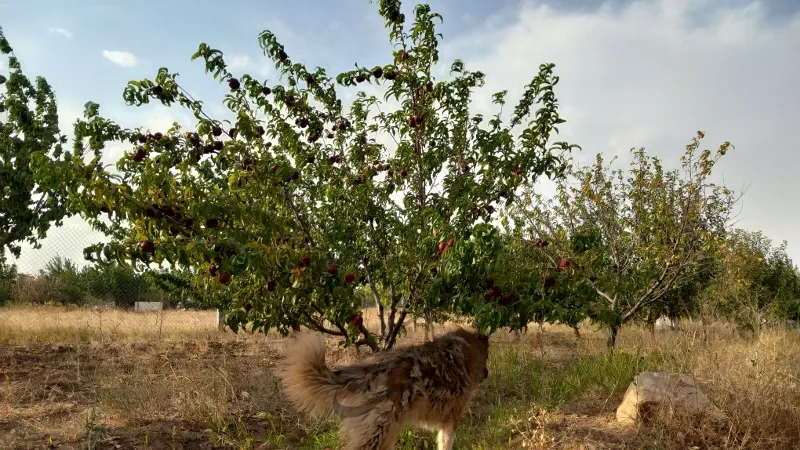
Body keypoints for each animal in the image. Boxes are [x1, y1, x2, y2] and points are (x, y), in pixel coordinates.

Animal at [278, 326, 490, 450]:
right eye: (487, 358)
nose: (487, 374)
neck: (465, 348)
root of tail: (372, 370)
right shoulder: (453, 418)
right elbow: (446, 443)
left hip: (388, 431)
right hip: (380, 431)